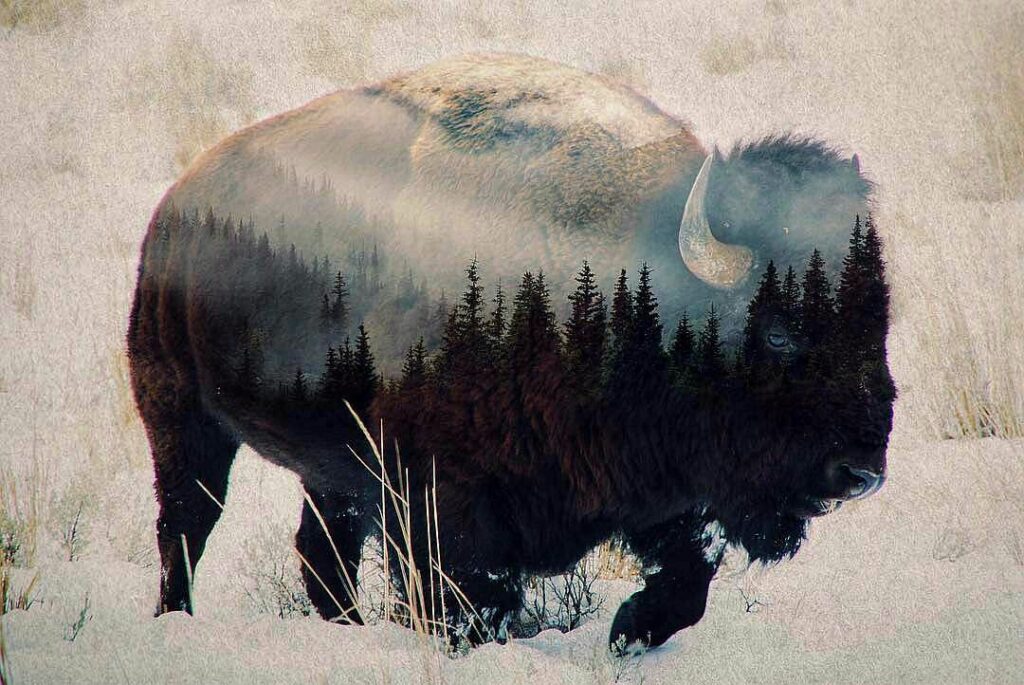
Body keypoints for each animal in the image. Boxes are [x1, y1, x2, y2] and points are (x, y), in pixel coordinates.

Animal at [127, 53, 894, 652]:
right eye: (779, 331)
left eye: (879, 321)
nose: (860, 472)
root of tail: (177, 204)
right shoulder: (442, 505)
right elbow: (466, 607)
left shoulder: (665, 492)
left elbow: (684, 589)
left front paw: (625, 632)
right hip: (183, 420)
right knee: (185, 526)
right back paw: (175, 620)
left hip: (330, 467)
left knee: (321, 550)